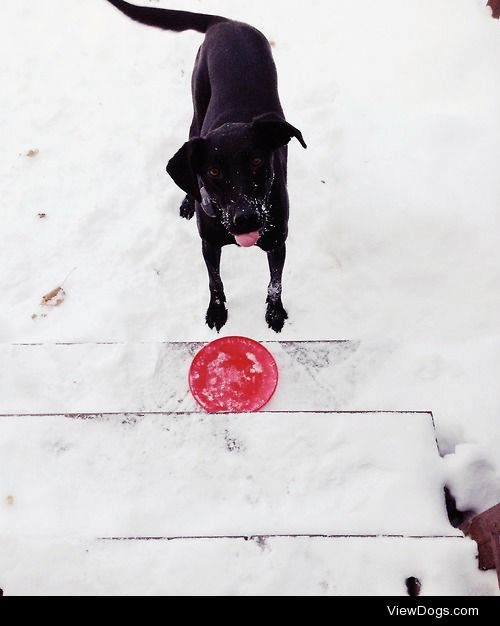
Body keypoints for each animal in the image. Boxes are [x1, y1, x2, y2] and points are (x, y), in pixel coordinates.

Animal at [105, 0, 304, 332]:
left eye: (257, 161)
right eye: (213, 171)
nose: (245, 219)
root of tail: (228, 23)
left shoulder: (278, 242)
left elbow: (275, 282)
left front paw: (275, 313)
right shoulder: (208, 243)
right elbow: (215, 281)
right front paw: (217, 311)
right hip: (196, 114)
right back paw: (188, 202)